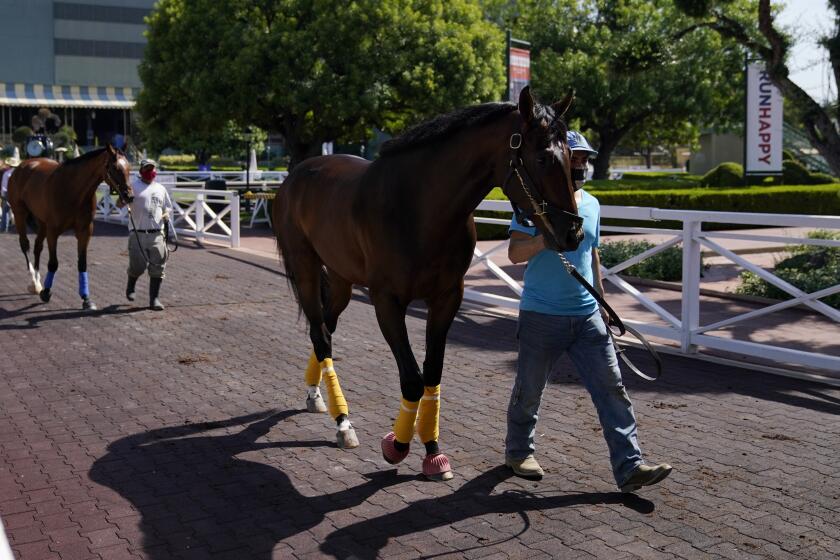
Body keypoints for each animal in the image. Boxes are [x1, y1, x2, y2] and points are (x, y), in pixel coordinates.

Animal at [7, 143, 133, 310]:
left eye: (129, 168)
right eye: (115, 168)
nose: (129, 196)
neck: (73, 190)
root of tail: (22, 166)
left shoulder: (85, 231)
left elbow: (82, 264)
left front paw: (86, 298)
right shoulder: (53, 231)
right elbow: (53, 263)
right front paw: (46, 293)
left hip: (42, 222)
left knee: (37, 247)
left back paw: (38, 282)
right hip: (20, 214)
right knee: (25, 245)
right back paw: (34, 283)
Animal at [276, 85, 584, 480]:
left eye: (571, 157)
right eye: (543, 157)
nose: (572, 233)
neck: (420, 207)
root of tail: (297, 174)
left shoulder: (447, 298)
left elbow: (431, 375)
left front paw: (434, 452)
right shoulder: (386, 301)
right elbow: (411, 377)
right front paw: (397, 445)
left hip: (342, 279)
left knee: (325, 332)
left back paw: (317, 396)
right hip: (306, 268)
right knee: (320, 334)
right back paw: (343, 421)